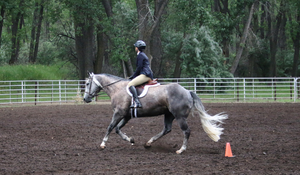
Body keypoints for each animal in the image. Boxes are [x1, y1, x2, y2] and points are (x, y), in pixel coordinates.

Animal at [82, 72, 227, 153]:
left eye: (88, 83)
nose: (85, 99)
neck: (117, 88)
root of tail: (187, 91)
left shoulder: (118, 113)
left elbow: (110, 127)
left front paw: (102, 144)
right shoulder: (126, 116)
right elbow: (117, 129)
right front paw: (130, 140)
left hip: (179, 116)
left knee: (186, 131)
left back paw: (181, 150)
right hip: (169, 115)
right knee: (167, 129)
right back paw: (148, 143)